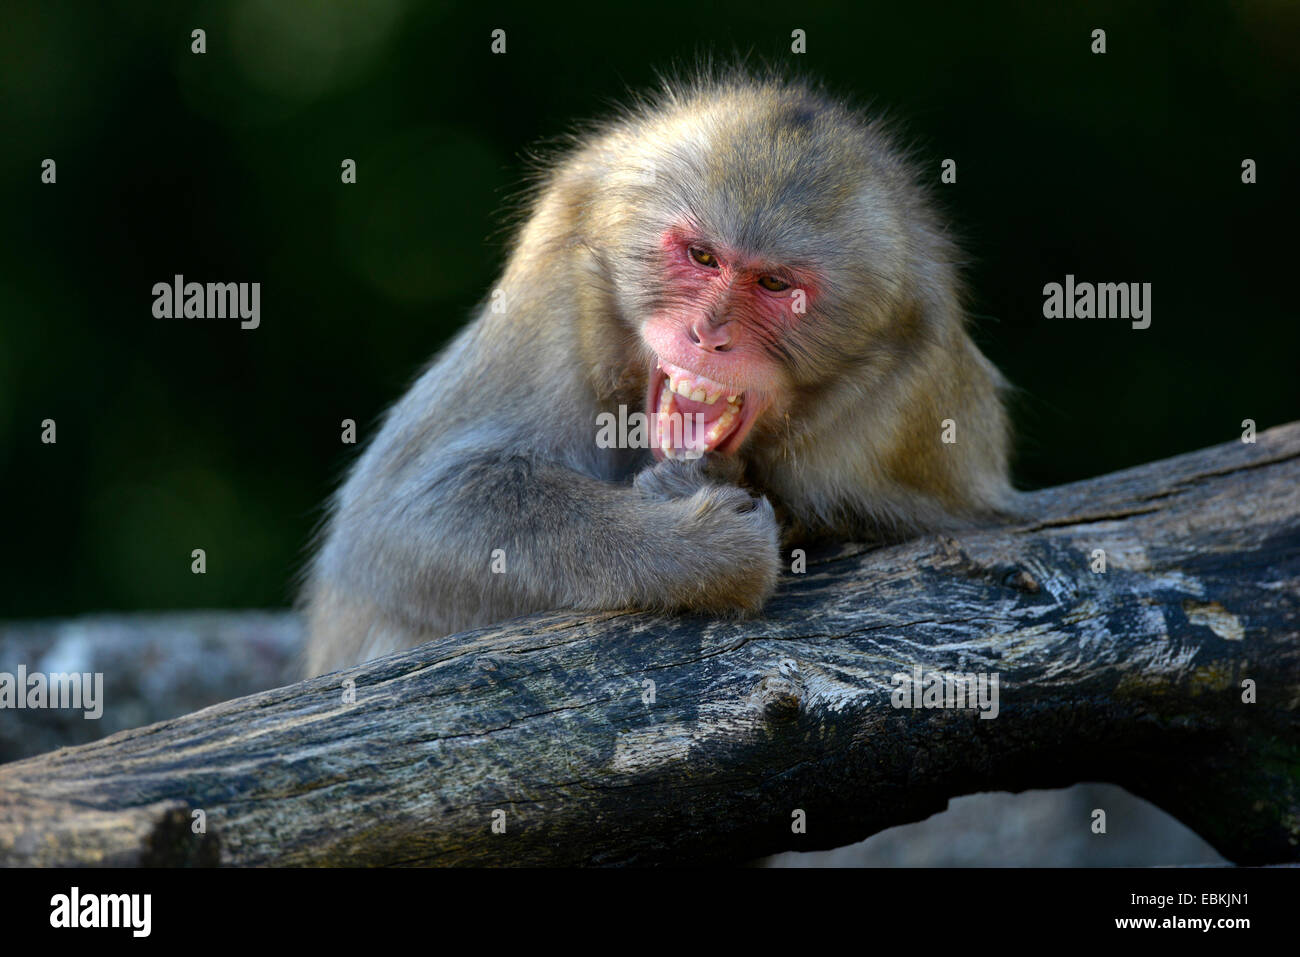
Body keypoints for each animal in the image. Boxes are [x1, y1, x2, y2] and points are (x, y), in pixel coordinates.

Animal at [299, 69, 1008, 681]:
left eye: (775, 285)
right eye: (702, 256)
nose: (709, 334)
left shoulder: (904, 422)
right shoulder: (548, 307)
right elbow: (398, 524)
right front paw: (707, 551)